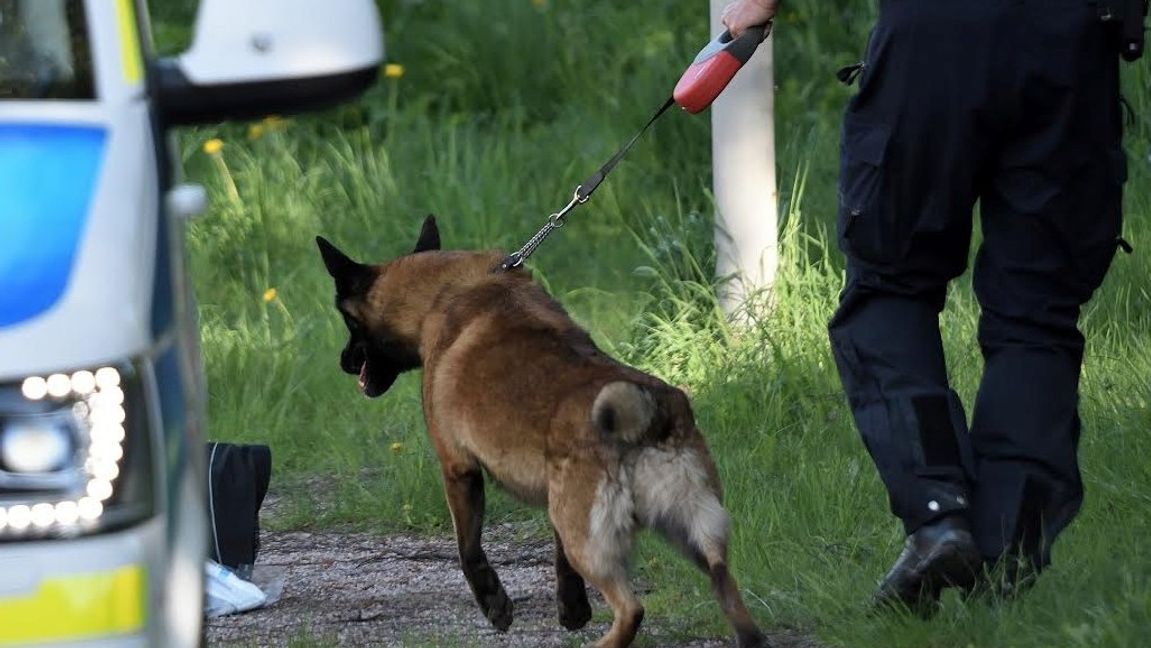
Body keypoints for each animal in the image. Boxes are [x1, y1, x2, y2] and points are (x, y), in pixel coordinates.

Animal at [317, 219, 764, 648]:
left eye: (348, 321)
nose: (341, 361)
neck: (444, 292)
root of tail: (654, 416)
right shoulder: (555, 503)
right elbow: (559, 561)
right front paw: (573, 609)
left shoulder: (458, 468)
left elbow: (467, 549)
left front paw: (495, 606)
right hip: (688, 531)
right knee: (725, 585)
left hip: (595, 542)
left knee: (632, 609)